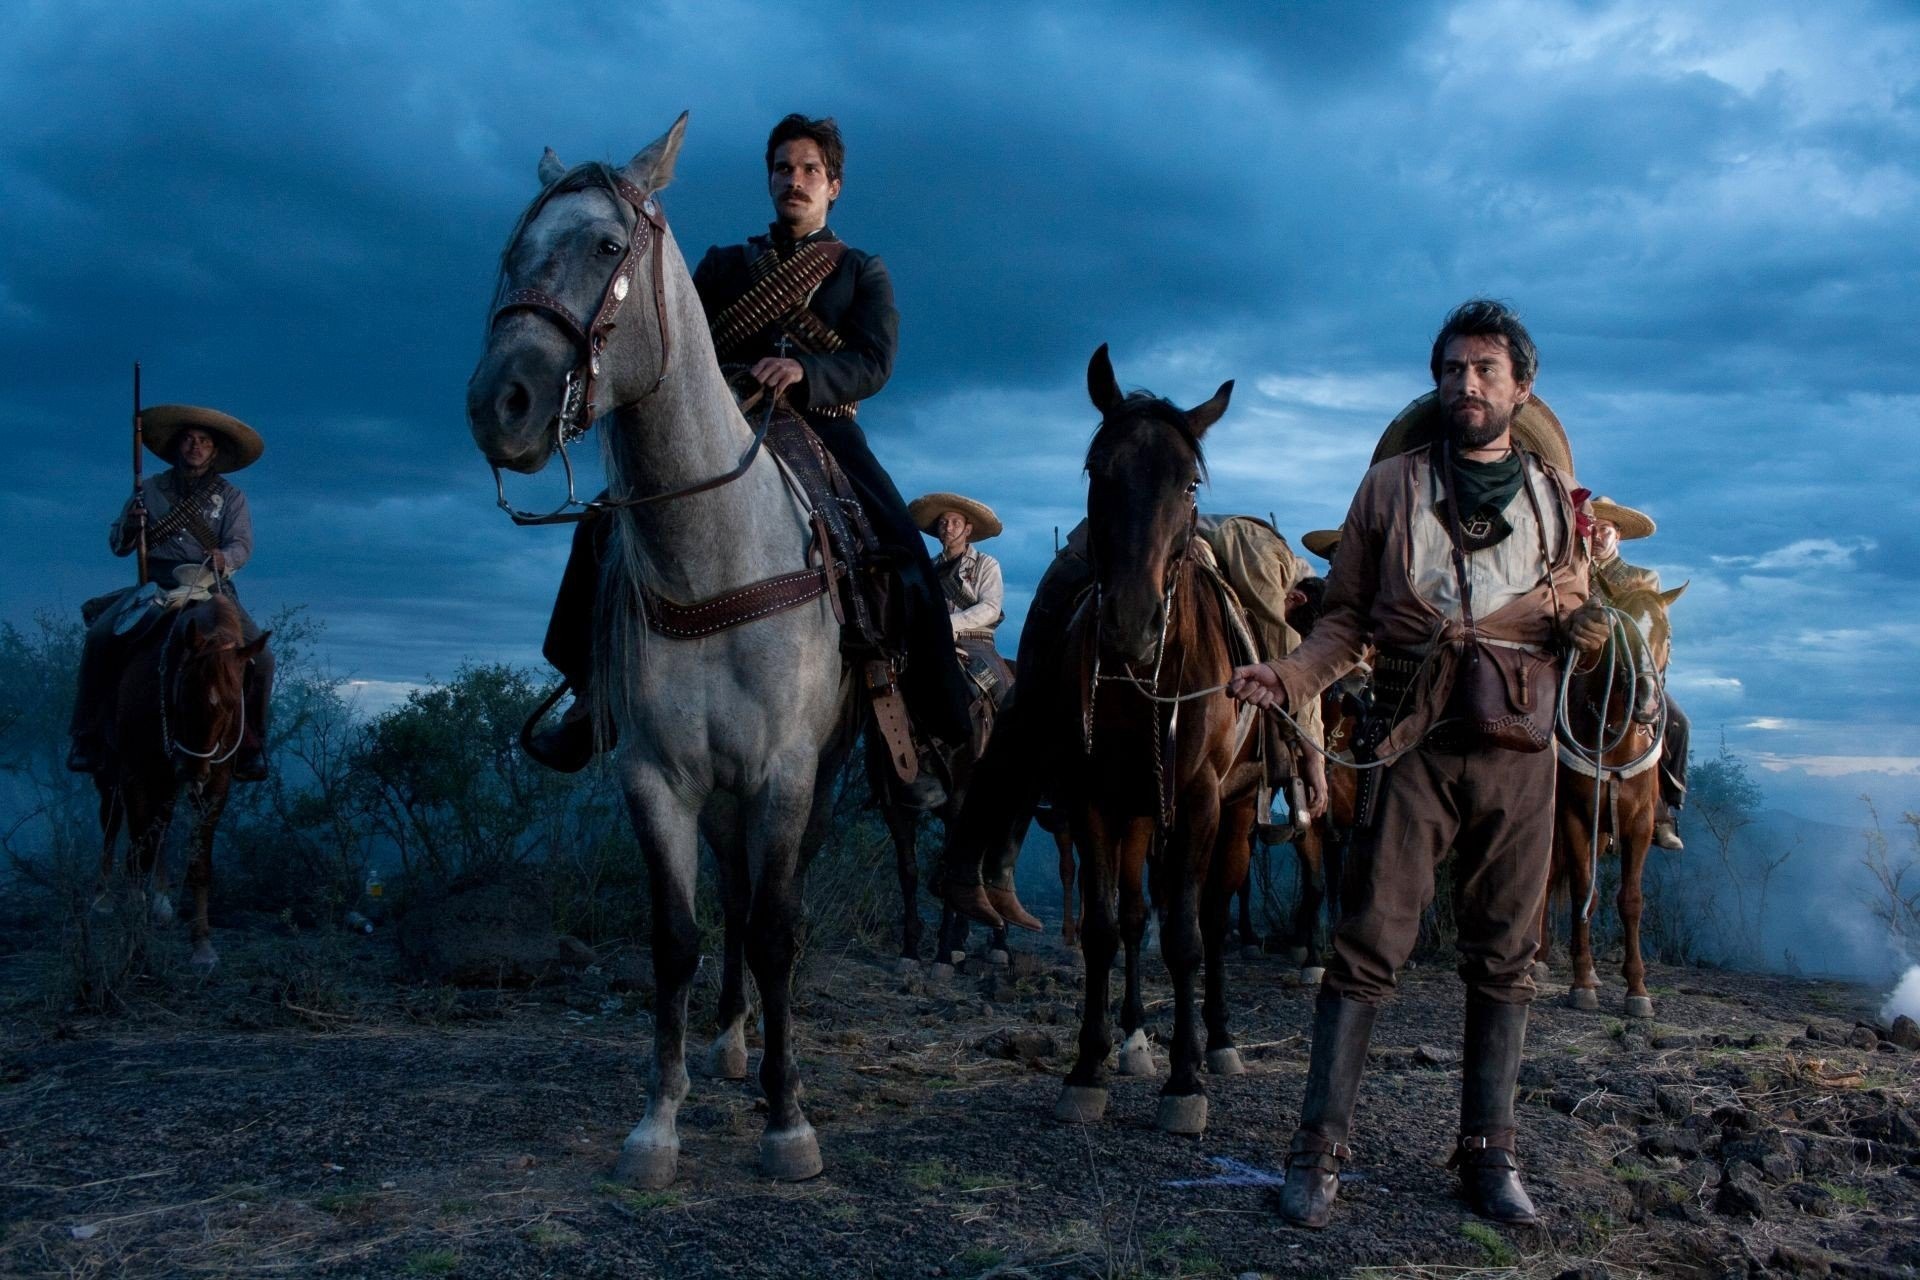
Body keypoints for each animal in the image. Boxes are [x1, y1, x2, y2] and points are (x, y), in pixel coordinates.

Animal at [94, 598, 268, 971]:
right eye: (183, 696)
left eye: (232, 705)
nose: (193, 770)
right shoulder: (135, 773)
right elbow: (138, 854)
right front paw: (136, 942)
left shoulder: (216, 784)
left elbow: (197, 862)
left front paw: (202, 946)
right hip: (112, 770)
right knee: (113, 822)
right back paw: (103, 896)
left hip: (167, 783)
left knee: (160, 825)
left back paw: (160, 901)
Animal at [464, 115, 856, 1189]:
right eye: (510, 251)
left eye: (607, 246)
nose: (500, 404)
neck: (710, 559)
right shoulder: (654, 777)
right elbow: (678, 938)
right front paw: (659, 1122)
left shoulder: (785, 773)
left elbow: (777, 929)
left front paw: (787, 1121)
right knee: (732, 892)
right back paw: (729, 1041)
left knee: (773, 905)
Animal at [1052, 345, 1259, 1136]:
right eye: (1098, 470)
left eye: (1189, 482)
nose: (1132, 625)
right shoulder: (1093, 797)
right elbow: (1107, 928)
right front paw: (1087, 1065)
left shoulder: (1198, 799)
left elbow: (1186, 936)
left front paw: (1187, 1079)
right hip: (1141, 809)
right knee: (1139, 912)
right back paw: (1136, 1037)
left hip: (1235, 809)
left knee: (1212, 915)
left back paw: (1220, 1041)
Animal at [1536, 583, 1689, 1020]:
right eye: (1619, 636)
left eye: (1668, 636)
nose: (1648, 704)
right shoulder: (1575, 819)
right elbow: (1584, 893)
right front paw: (1582, 984)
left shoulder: (1639, 825)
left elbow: (1630, 901)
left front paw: (1637, 990)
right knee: (1549, 882)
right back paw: (1539, 960)